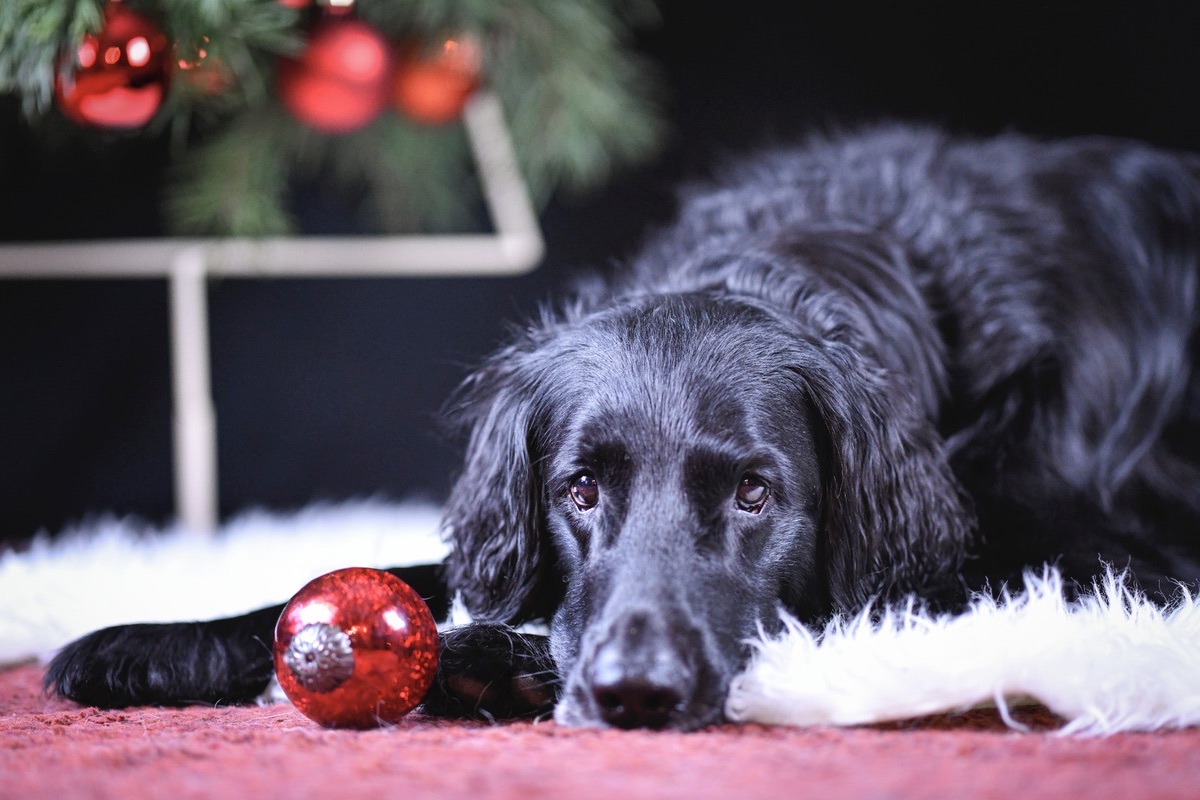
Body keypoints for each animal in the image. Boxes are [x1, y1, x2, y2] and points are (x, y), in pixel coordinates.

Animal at [42, 126, 1200, 734]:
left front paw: (497, 658)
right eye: (580, 490)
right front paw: (146, 642)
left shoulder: (1126, 568)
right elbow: (408, 568)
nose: (637, 689)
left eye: (754, 494)